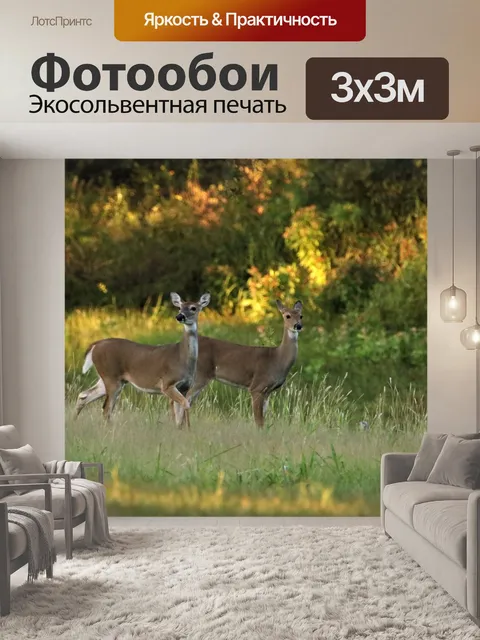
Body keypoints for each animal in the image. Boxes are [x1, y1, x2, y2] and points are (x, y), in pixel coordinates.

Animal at [74, 292, 211, 427]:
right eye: (179, 308)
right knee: (106, 408)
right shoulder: (167, 383)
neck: (182, 358)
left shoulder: (185, 387)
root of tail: (95, 345)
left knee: (84, 396)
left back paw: (74, 421)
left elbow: (180, 414)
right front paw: (188, 429)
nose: (180, 316)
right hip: (111, 376)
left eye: (193, 308)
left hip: (110, 378)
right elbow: (185, 405)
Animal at [171, 299, 303, 428]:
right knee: (184, 399)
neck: (277, 359)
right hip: (200, 375)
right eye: (287, 316)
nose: (298, 325)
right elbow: (259, 421)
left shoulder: (267, 392)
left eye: (301, 316)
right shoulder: (257, 386)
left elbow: (262, 420)